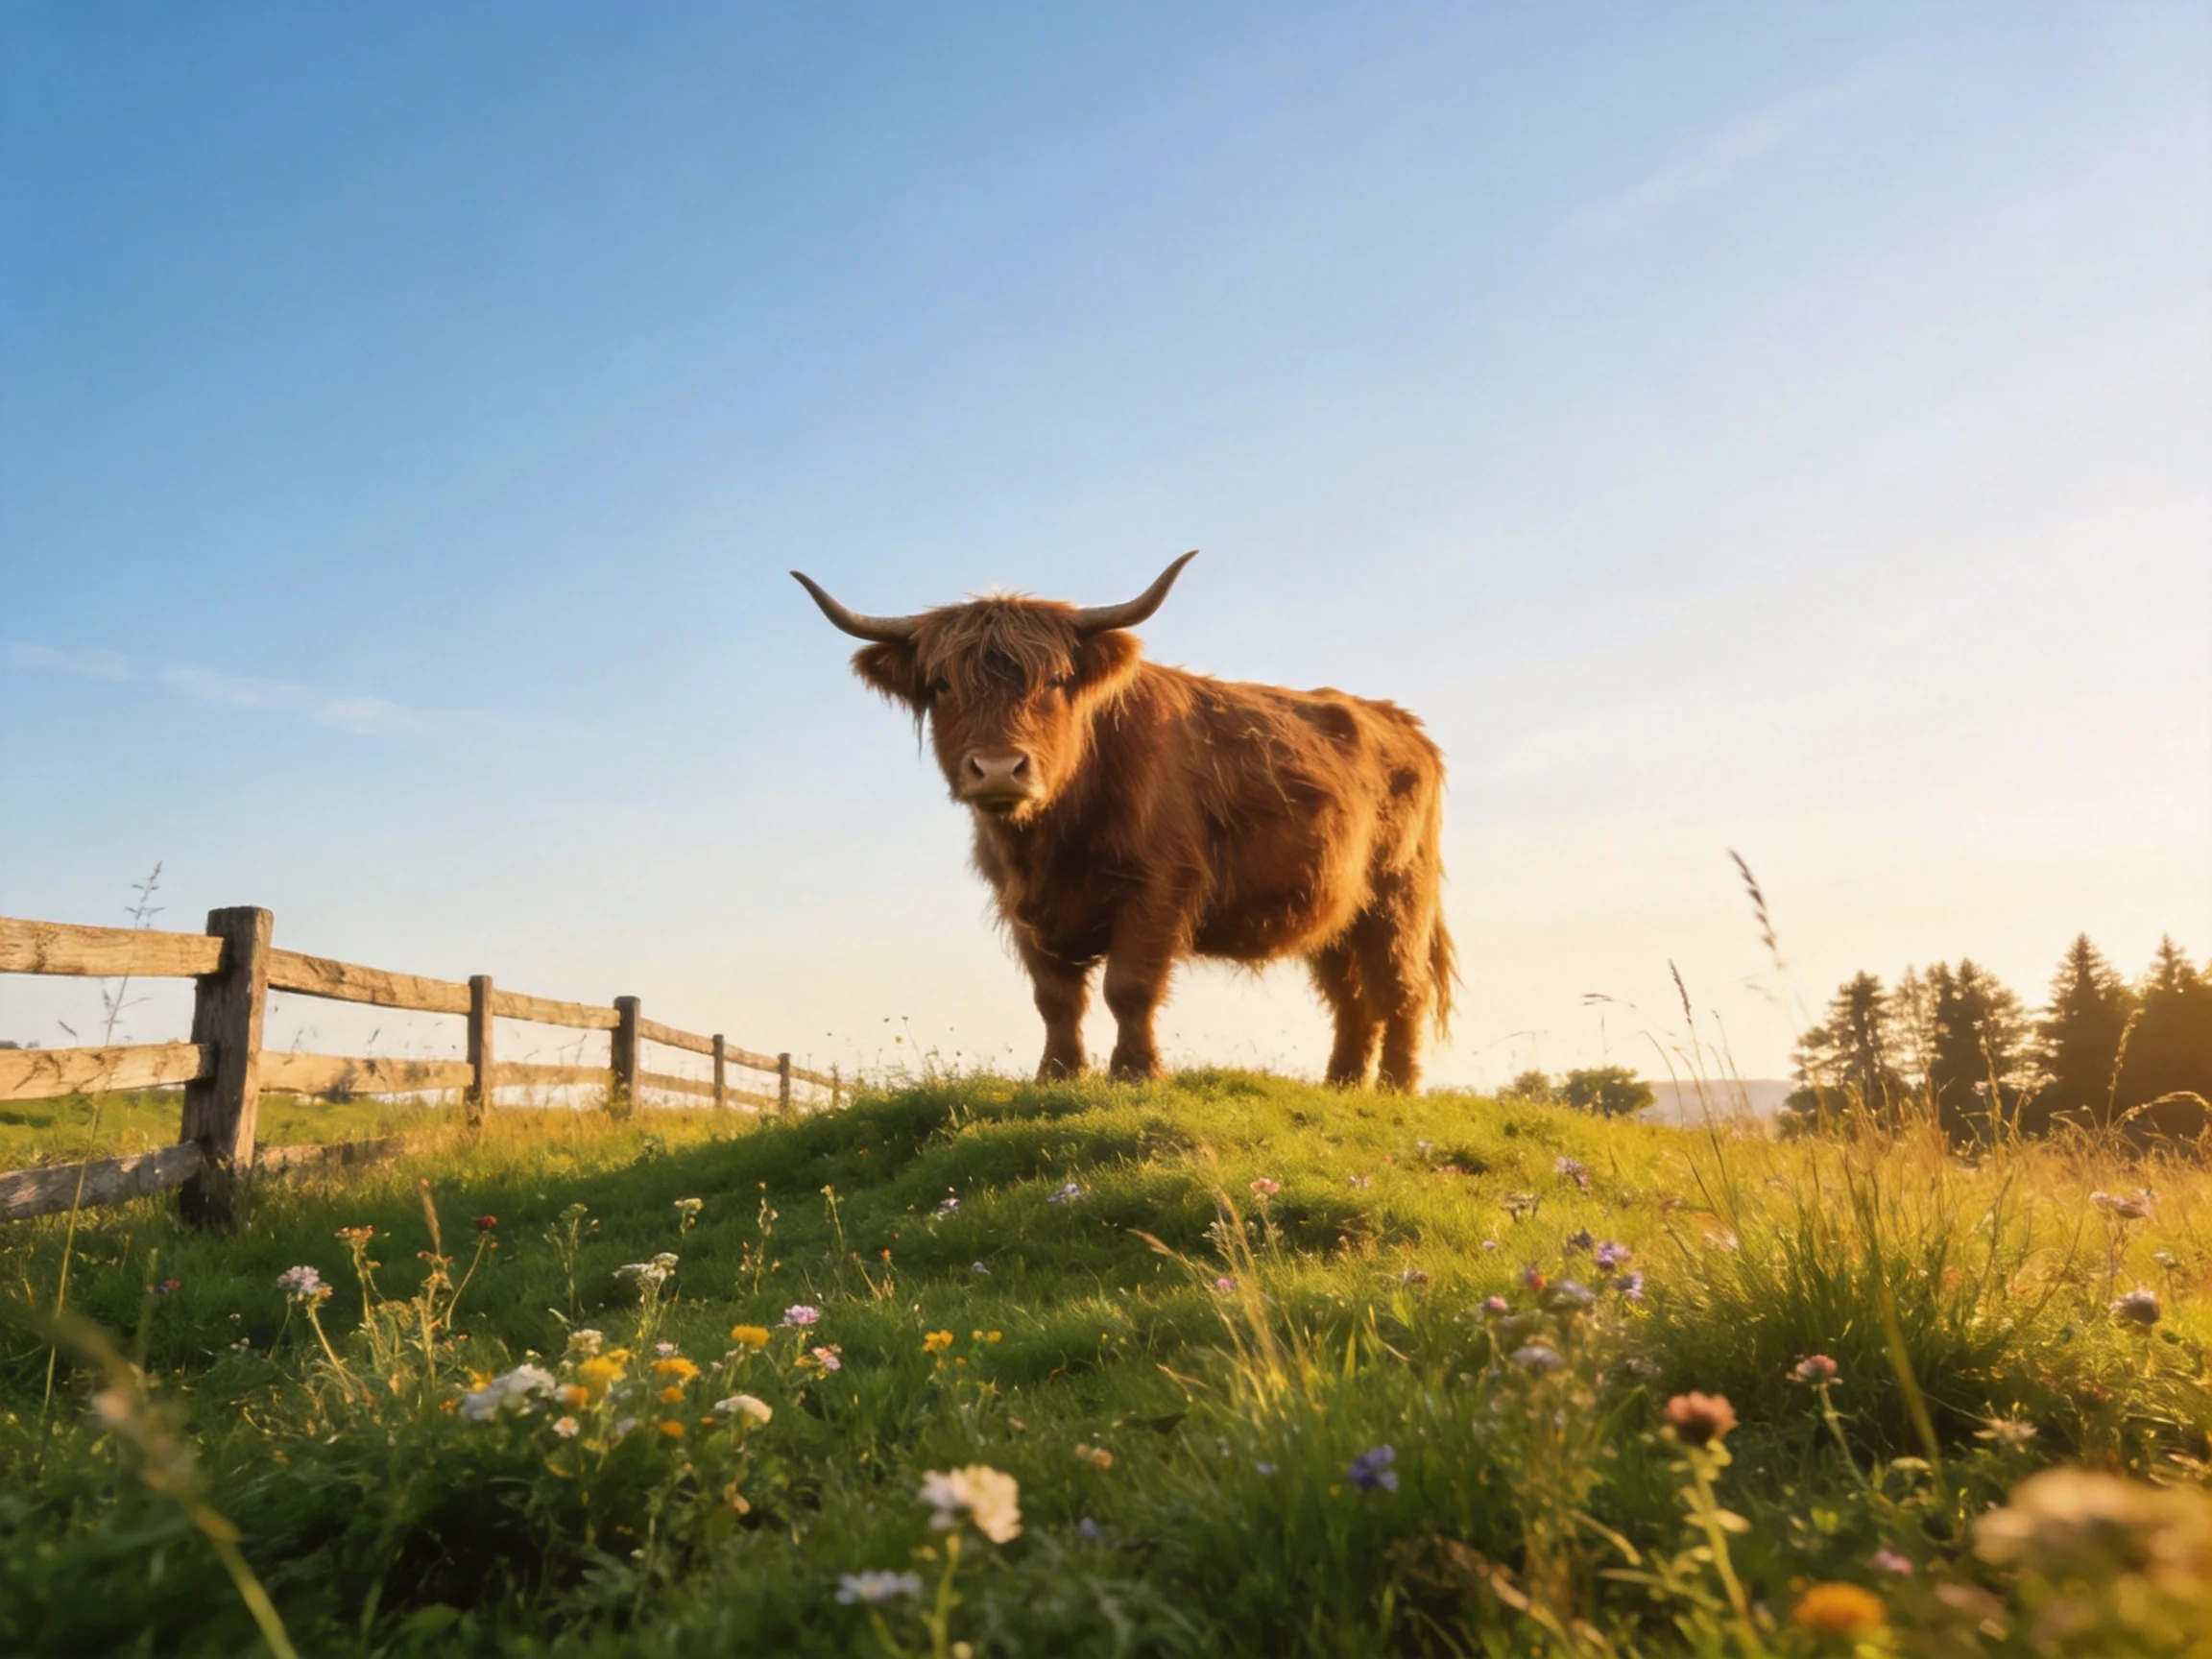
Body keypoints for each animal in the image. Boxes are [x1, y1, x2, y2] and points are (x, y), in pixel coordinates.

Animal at [793, 553, 1456, 1090]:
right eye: (940, 685)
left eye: (1057, 681)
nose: (1000, 768)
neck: (1049, 838)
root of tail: (1403, 723)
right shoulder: (1022, 906)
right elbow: (1055, 998)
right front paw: (1057, 1074)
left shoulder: (1157, 886)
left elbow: (1128, 985)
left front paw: (1136, 1072)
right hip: (1338, 912)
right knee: (1352, 998)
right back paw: (1341, 1085)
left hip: (1398, 897)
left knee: (1400, 988)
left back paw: (1396, 1088)